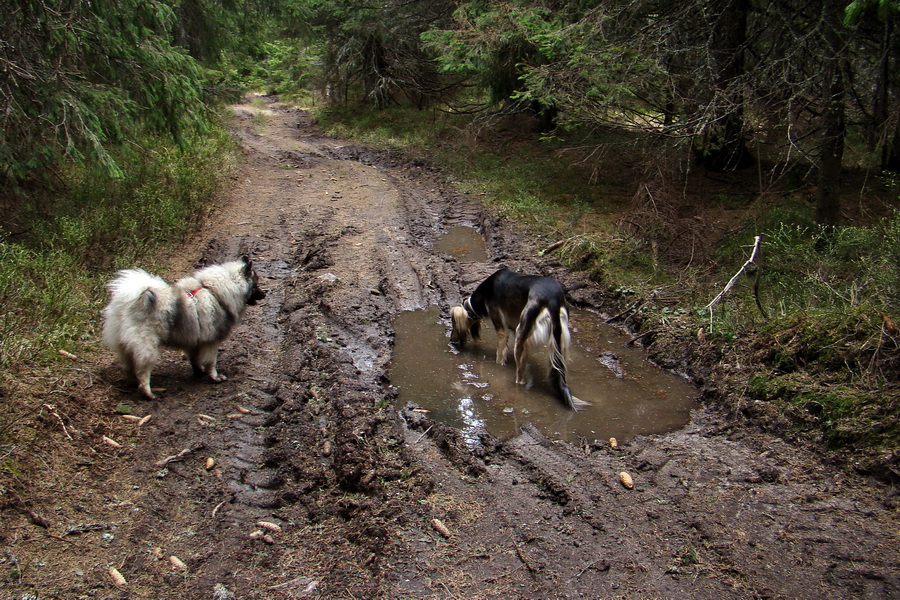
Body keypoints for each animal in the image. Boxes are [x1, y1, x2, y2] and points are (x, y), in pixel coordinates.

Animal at [450, 270, 584, 410]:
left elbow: (499, 356)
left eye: (452, 323)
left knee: (521, 377)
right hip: (559, 341)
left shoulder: (502, 329)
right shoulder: (512, 328)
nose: (451, 339)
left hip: (521, 332)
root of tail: (552, 299)